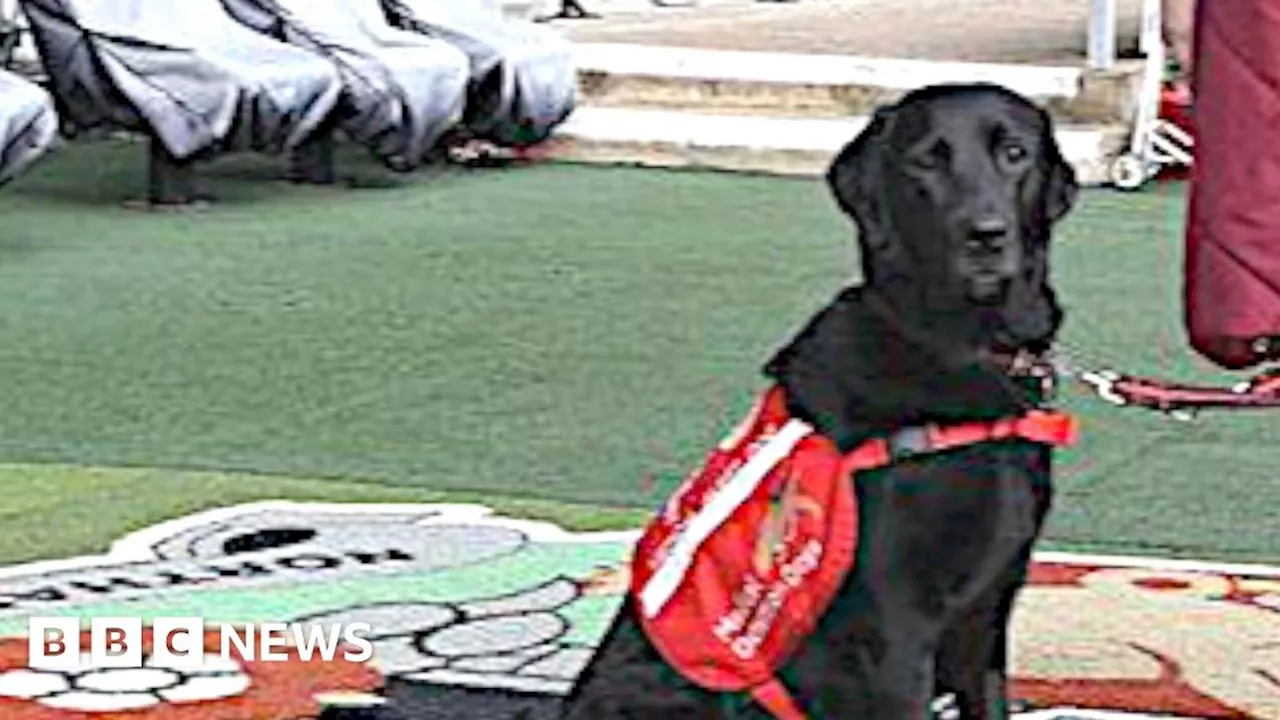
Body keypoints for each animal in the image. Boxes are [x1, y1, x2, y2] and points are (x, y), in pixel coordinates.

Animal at [560, 81, 1080, 712]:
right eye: (926, 161)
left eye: (1014, 154)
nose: (985, 234)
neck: (958, 346)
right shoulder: (894, 636)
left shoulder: (985, 620)